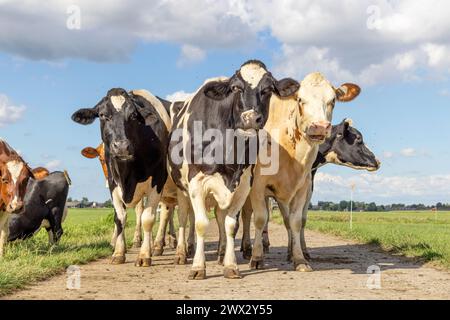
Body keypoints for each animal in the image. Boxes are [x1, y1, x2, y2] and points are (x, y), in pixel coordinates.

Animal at [71, 89, 171, 266]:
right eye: (102, 115)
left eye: (133, 115)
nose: (122, 146)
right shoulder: (113, 184)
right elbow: (120, 218)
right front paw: (118, 252)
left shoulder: (158, 181)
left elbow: (148, 218)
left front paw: (144, 255)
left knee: (167, 213)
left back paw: (162, 245)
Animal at [168, 60, 298, 280]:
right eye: (236, 87)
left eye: (268, 89)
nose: (250, 118)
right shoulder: (197, 182)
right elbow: (201, 223)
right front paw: (198, 267)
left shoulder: (243, 184)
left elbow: (230, 224)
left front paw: (230, 265)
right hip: (182, 189)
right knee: (186, 218)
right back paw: (182, 253)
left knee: (220, 219)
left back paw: (221, 254)